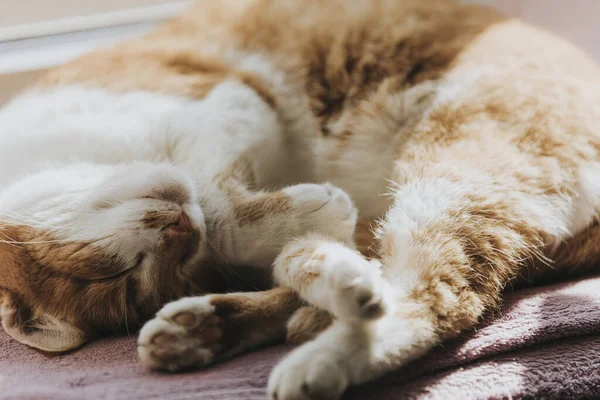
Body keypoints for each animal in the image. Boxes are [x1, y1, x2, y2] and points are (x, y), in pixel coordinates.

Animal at [1, 0, 600, 400]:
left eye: (115, 271)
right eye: (141, 273)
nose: (178, 230)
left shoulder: (225, 97)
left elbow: (217, 198)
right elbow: (232, 220)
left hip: (462, 158)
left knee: (432, 294)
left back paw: (315, 358)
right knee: (378, 279)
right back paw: (202, 330)